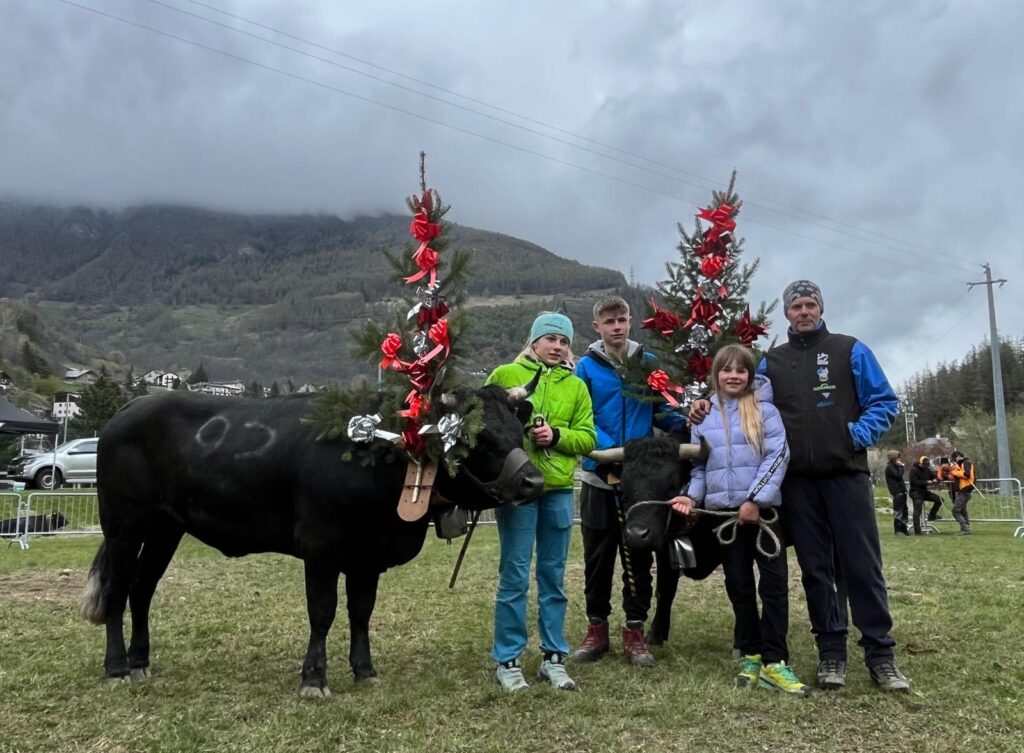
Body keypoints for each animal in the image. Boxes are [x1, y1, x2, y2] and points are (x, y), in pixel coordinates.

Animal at [606, 436, 720, 647]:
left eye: (672, 487)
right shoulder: (665, 549)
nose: (636, 534)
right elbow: (665, 590)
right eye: (623, 489)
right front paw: (656, 634)